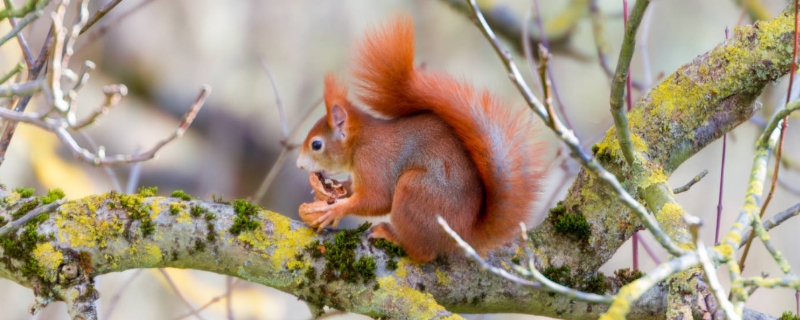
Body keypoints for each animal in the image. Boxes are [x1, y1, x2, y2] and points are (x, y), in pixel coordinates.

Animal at [296, 14, 548, 262]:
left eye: (316, 144)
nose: (299, 165)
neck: (360, 142)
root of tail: (464, 236)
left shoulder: (374, 161)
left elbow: (378, 199)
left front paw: (334, 210)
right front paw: (334, 187)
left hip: (414, 192)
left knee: (422, 253)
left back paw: (392, 236)